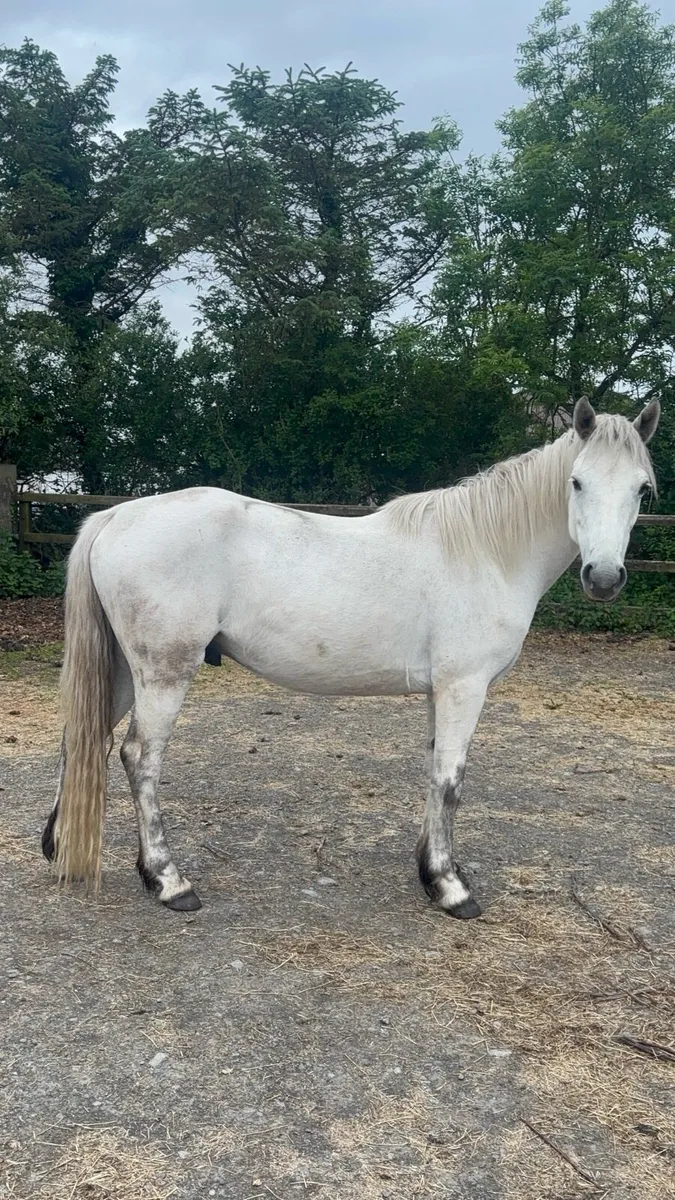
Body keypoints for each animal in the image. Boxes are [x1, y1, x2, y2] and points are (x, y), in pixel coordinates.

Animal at [42, 397, 660, 917]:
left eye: (642, 491)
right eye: (576, 482)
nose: (604, 578)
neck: (485, 550)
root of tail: (116, 517)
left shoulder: (441, 691)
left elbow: (433, 772)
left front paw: (432, 871)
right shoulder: (464, 687)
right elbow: (451, 779)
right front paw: (451, 889)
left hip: (126, 670)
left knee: (82, 738)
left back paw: (61, 843)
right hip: (164, 672)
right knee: (140, 758)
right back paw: (169, 882)